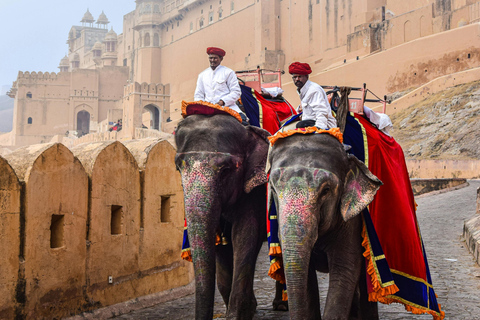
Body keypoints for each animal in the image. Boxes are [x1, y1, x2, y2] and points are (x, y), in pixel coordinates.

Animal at [175, 114, 274, 318]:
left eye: (226, 170)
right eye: (178, 168)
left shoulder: (254, 190)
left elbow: (245, 234)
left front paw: (238, 314)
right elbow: (219, 242)